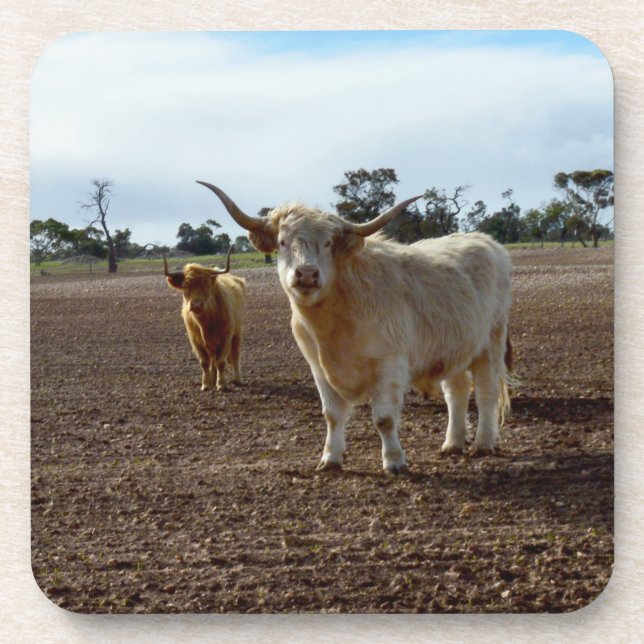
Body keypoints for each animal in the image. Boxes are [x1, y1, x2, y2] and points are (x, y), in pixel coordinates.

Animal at [164, 247, 246, 392]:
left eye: (207, 285)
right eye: (186, 286)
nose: (196, 304)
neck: (206, 323)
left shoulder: (225, 337)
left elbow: (221, 361)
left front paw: (222, 384)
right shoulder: (195, 340)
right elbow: (204, 362)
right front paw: (206, 384)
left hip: (237, 331)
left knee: (235, 354)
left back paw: (237, 379)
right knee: (212, 357)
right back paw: (213, 378)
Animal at [197, 181, 513, 474]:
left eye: (327, 243)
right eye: (284, 242)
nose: (307, 274)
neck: (336, 319)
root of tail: (487, 242)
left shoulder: (389, 365)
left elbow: (384, 418)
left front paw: (394, 461)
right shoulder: (318, 368)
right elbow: (332, 415)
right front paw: (330, 459)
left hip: (491, 343)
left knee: (485, 391)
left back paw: (483, 444)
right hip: (454, 348)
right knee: (456, 391)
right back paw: (452, 444)